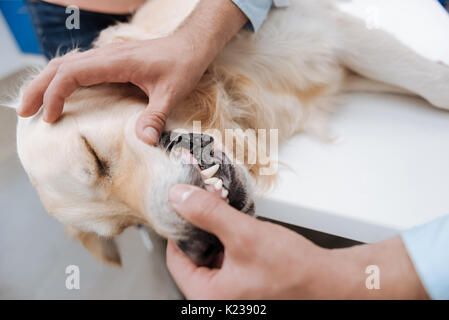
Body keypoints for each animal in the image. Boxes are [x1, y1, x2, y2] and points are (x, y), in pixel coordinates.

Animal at [9, 0, 448, 264]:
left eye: (95, 157)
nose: (203, 246)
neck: (233, 90)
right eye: (128, 227)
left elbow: (431, 84)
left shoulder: (331, 32)